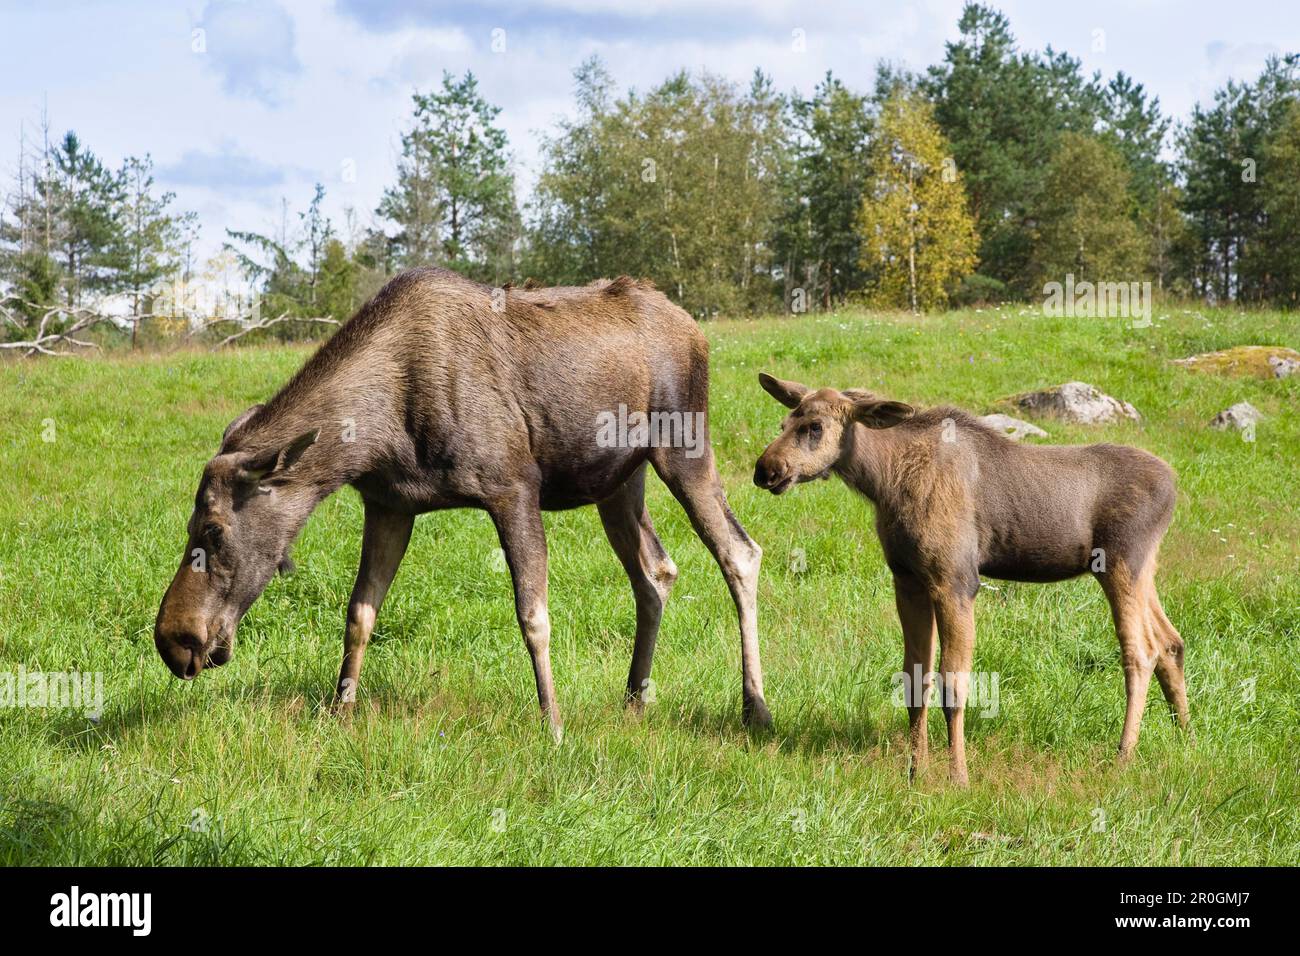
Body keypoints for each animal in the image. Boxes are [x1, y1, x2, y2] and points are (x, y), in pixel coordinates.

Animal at [153, 270, 769, 738]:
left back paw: (755, 707)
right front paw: (339, 709)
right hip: (619, 479)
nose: (173, 640)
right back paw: (636, 696)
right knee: (655, 570)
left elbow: (533, 615)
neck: (377, 437)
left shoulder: (513, 485)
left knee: (740, 551)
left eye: (212, 530)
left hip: (683, 443)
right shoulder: (390, 505)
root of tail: (697, 330)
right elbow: (359, 612)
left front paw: (553, 724)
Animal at [754, 374, 1190, 785]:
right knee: (1171, 641)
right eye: (783, 422)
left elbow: (954, 686)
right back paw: (1185, 735)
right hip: (1142, 569)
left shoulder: (956, 580)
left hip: (1121, 561)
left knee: (1141, 651)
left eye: (814, 426)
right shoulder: (908, 579)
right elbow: (915, 682)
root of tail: (1174, 486)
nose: (766, 470)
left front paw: (958, 776)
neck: (885, 482)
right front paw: (914, 773)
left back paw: (1124, 754)